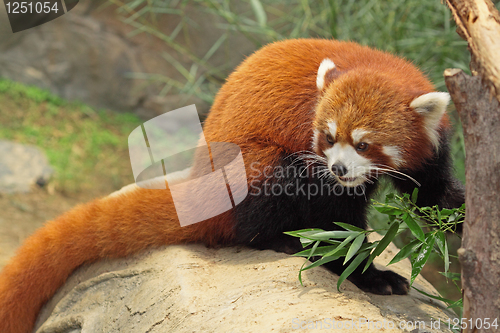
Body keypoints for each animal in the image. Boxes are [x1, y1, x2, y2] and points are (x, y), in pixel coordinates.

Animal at [0, 37, 464, 330]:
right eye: (329, 138)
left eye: (364, 145)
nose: (338, 170)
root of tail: (194, 182)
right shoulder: (315, 166)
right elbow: (335, 225)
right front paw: (367, 273)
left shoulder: (430, 151)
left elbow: (434, 193)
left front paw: (460, 222)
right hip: (252, 167)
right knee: (267, 198)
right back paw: (284, 242)